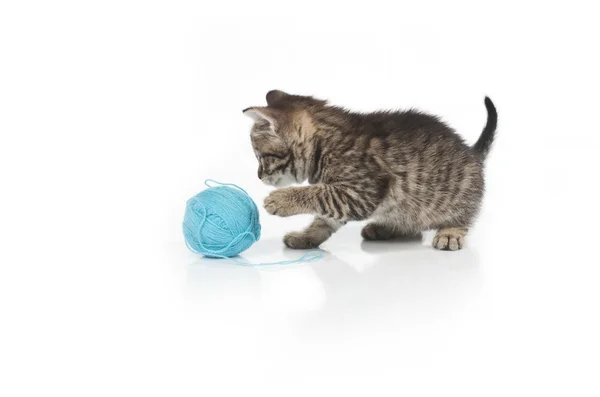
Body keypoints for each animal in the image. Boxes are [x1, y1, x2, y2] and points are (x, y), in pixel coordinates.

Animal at [243, 91, 496, 249]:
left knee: (461, 216)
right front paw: (306, 236)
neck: (327, 143)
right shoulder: (345, 196)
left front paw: (281, 200)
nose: (258, 175)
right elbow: (324, 219)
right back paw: (386, 228)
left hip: (456, 196)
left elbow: (318, 194)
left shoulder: (359, 191)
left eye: (262, 157)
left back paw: (450, 232)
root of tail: (472, 154)